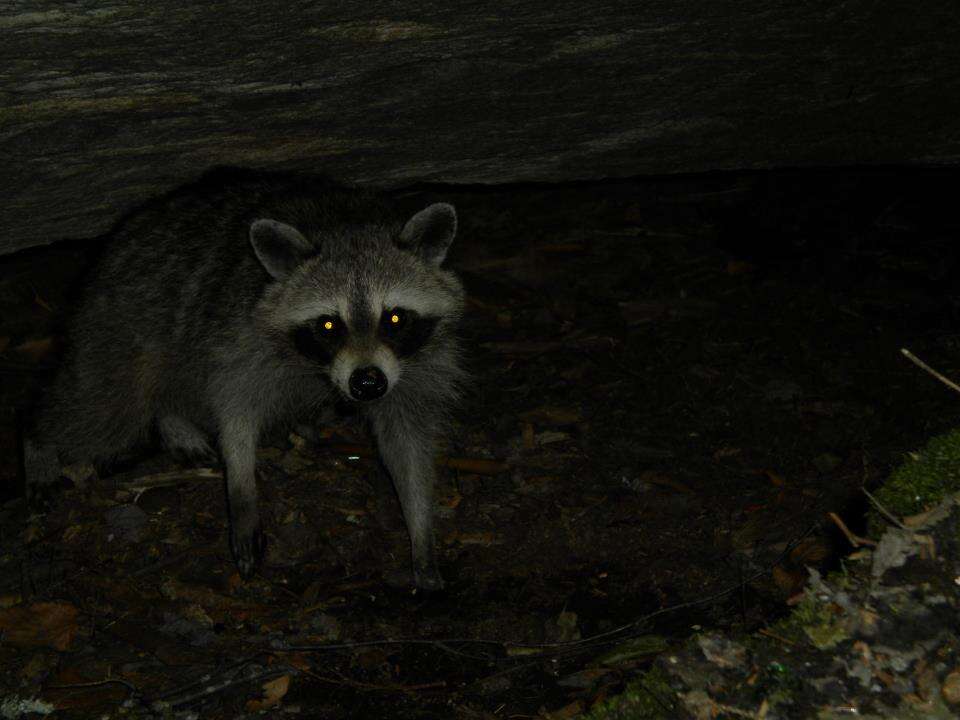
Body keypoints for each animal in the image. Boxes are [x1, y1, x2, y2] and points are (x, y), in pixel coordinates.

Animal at [24, 169, 466, 592]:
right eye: (328, 325)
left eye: (395, 317)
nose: (367, 384)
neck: (344, 224)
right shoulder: (240, 335)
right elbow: (235, 412)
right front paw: (242, 488)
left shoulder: (418, 363)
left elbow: (407, 441)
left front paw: (421, 529)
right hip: (121, 325)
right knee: (102, 408)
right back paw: (39, 443)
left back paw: (174, 420)